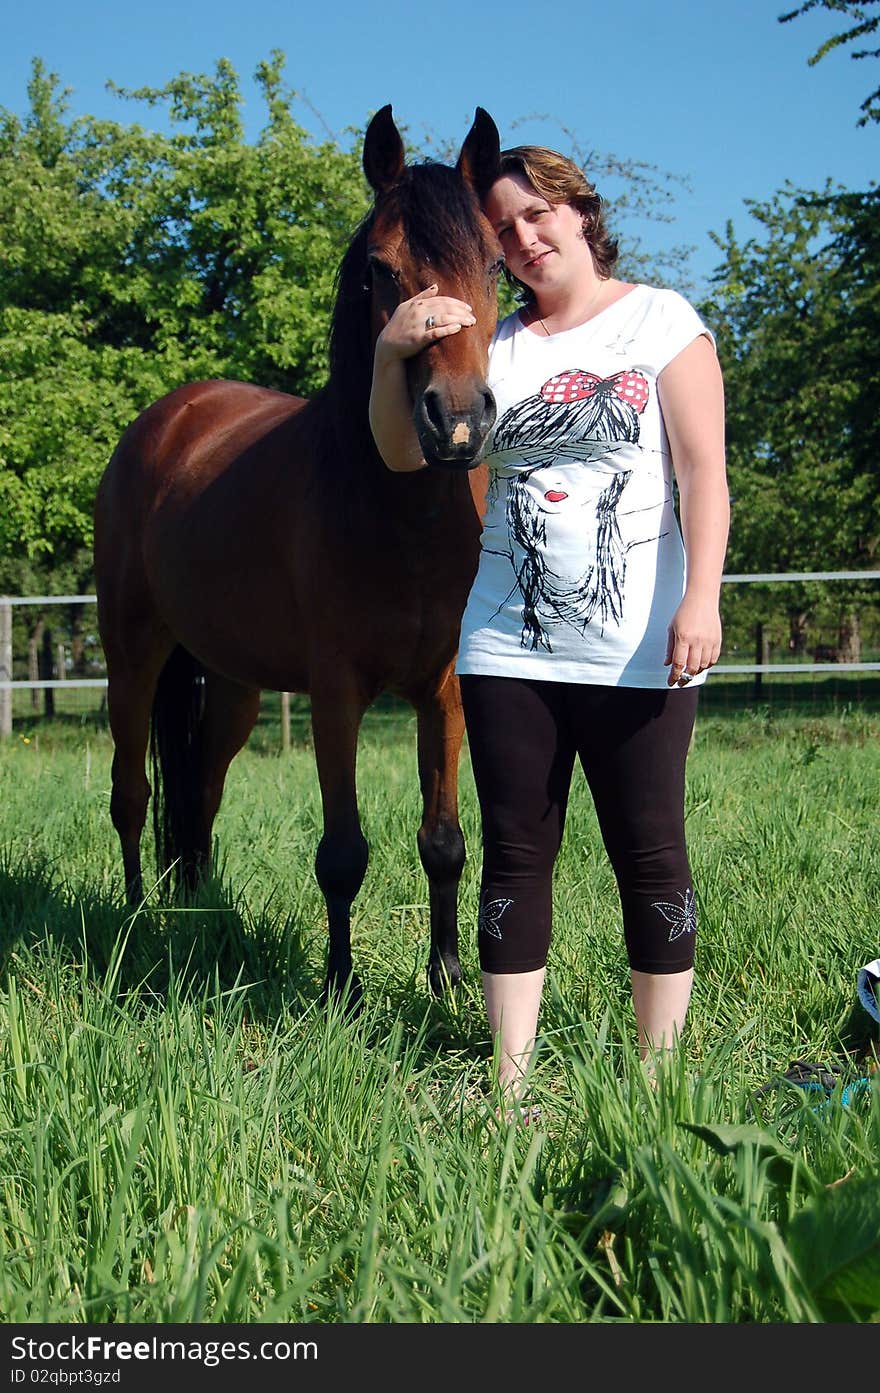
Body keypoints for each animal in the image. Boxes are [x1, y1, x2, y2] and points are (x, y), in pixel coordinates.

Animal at [94, 103, 501, 1008]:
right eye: (383, 268)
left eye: (496, 264)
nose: (455, 420)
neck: (399, 511)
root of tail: (164, 422)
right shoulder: (336, 692)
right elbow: (342, 852)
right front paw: (341, 989)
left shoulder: (446, 690)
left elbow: (444, 840)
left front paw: (448, 978)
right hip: (131, 654)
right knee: (133, 793)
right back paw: (137, 921)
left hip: (233, 684)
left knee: (201, 791)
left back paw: (197, 911)